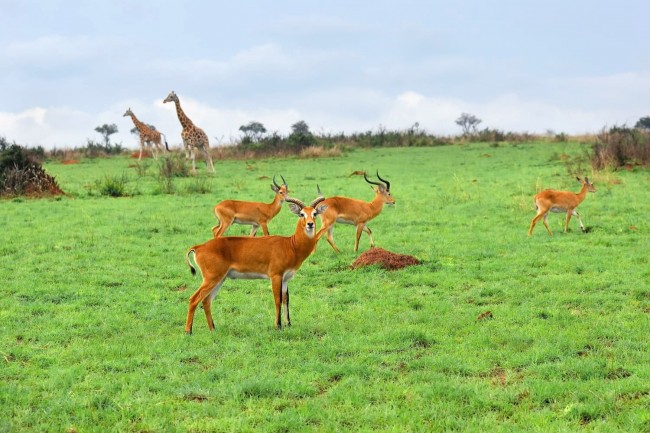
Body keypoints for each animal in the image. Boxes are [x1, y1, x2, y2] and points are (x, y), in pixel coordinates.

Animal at [181, 196, 324, 334]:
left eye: (315, 213)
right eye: (301, 214)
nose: (310, 224)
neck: (291, 245)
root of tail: (199, 247)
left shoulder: (285, 279)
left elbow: (286, 300)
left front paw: (288, 325)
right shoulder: (275, 276)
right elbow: (277, 300)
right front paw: (278, 326)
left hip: (220, 279)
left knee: (206, 301)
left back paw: (213, 329)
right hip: (212, 278)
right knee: (194, 299)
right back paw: (188, 331)